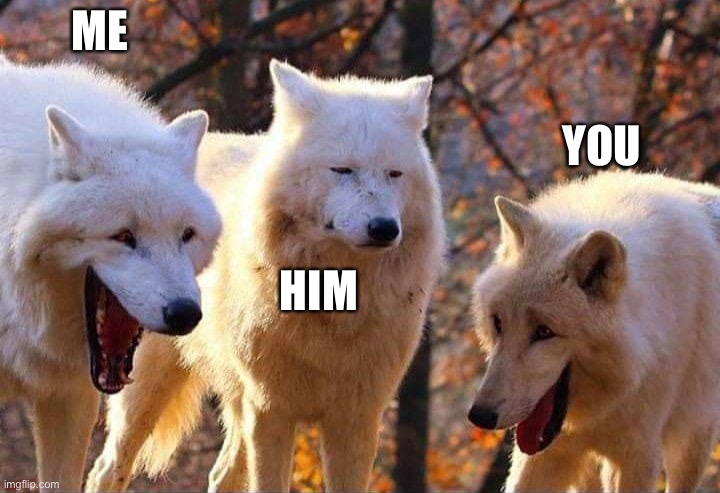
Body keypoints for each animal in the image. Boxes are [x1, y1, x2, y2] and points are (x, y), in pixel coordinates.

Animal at [86, 60, 445, 492]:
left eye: (395, 174)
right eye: (342, 170)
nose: (384, 228)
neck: (334, 299)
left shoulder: (357, 418)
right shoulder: (271, 409)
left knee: (221, 474)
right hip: (148, 387)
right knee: (107, 469)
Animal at [468, 172, 720, 492]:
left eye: (544, 332)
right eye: (499, 323)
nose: (480, 416)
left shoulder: (637, 456)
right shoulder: (545, 452)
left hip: (691, 442)